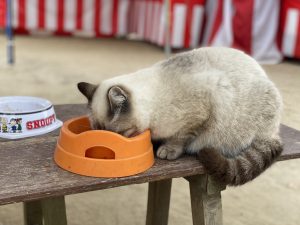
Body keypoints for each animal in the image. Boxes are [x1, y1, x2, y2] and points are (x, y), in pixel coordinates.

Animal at [78, 46, 284, 185]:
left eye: (116, 134)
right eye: (98, 131)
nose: (107, 148)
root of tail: (274, 132)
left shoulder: (199, 113)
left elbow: (180, 138)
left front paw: (167, 151)